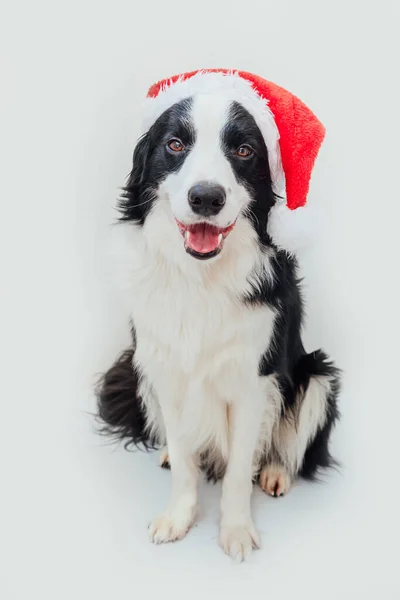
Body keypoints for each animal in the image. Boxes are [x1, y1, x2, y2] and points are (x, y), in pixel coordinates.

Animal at [96, 71, 338, 564]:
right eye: (174, 144)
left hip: (318, 376)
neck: (201, 278)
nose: (206, 197)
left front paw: (237, 531)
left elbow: (239, 469)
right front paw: (179, 515)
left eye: (244, 151)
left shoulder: (251, 381)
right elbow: (186, 464)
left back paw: (275, 473)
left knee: (289, 444)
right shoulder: (165, 368)